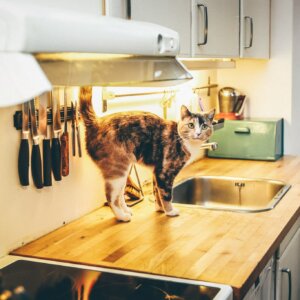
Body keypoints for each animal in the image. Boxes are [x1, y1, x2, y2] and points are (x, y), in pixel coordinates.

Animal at [79, 85, 216, 221]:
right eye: (191, 125)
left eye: (204, 126)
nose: (198, 133)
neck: (184, 141)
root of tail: (96, 122)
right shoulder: (165, 172)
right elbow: (166, 195)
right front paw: (170, 211)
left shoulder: (156, 172)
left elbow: (156, 192)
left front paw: (160, 209)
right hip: (117, 169)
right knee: (111, 197)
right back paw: (122, 216)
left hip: (123, 172)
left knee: (120, 195)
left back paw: (127, 211)